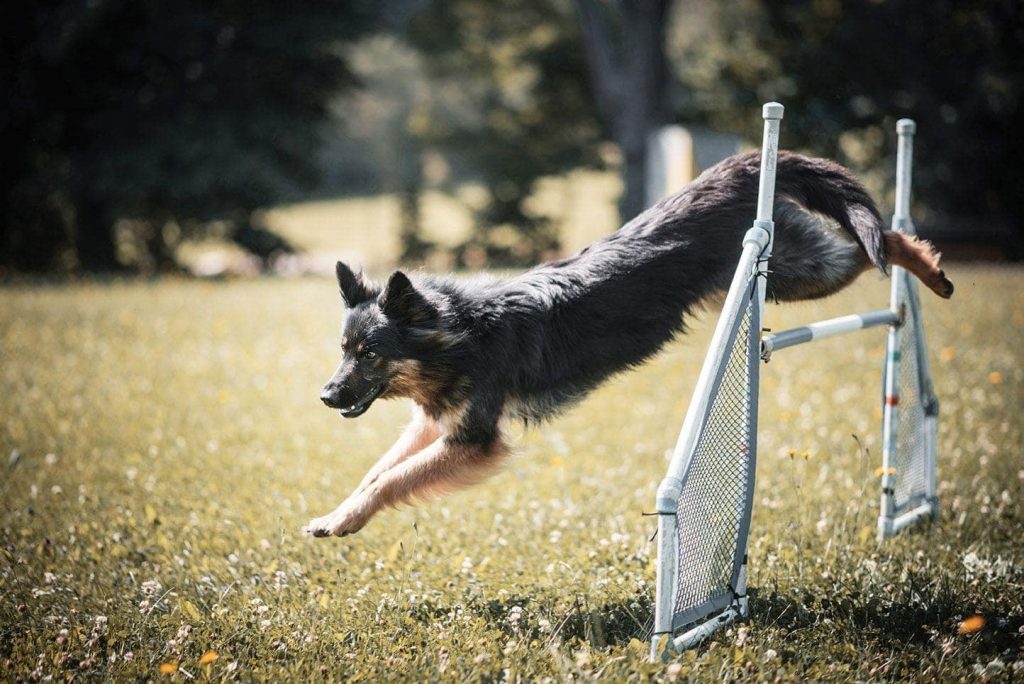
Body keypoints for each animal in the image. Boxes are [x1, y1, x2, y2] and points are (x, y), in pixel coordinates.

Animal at [301, 150, 950, 540]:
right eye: (344, 348)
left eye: (370, 353)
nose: (326, 396)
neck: (458, 332)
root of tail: (732, 168)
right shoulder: (435, 424)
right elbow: (376, 471)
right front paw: (338, 511)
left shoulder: (474, 440)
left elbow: (392, 479)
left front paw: (344, 521)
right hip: (785, 274)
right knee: (872, 241)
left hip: (797, 269)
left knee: (878, 239)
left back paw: (930, 268)